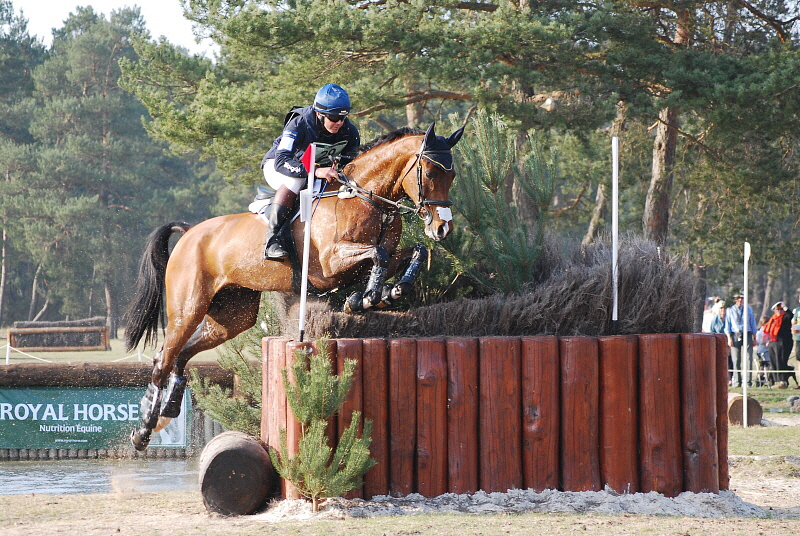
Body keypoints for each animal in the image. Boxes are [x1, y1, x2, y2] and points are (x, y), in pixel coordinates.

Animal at [122, 121, 466, 448]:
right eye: (431, 172)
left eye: (452, 175)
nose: (442, 228)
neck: (367, 199)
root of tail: (191, 233)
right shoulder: (330, 263)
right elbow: (378, 254)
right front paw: (367, 297)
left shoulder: (367, 261)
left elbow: (415, 252)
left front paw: (388, 292)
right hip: (188, 308)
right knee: (162, 360)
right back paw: (144, 431)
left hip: (233, 315)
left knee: (181, 355)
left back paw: (167, 413)